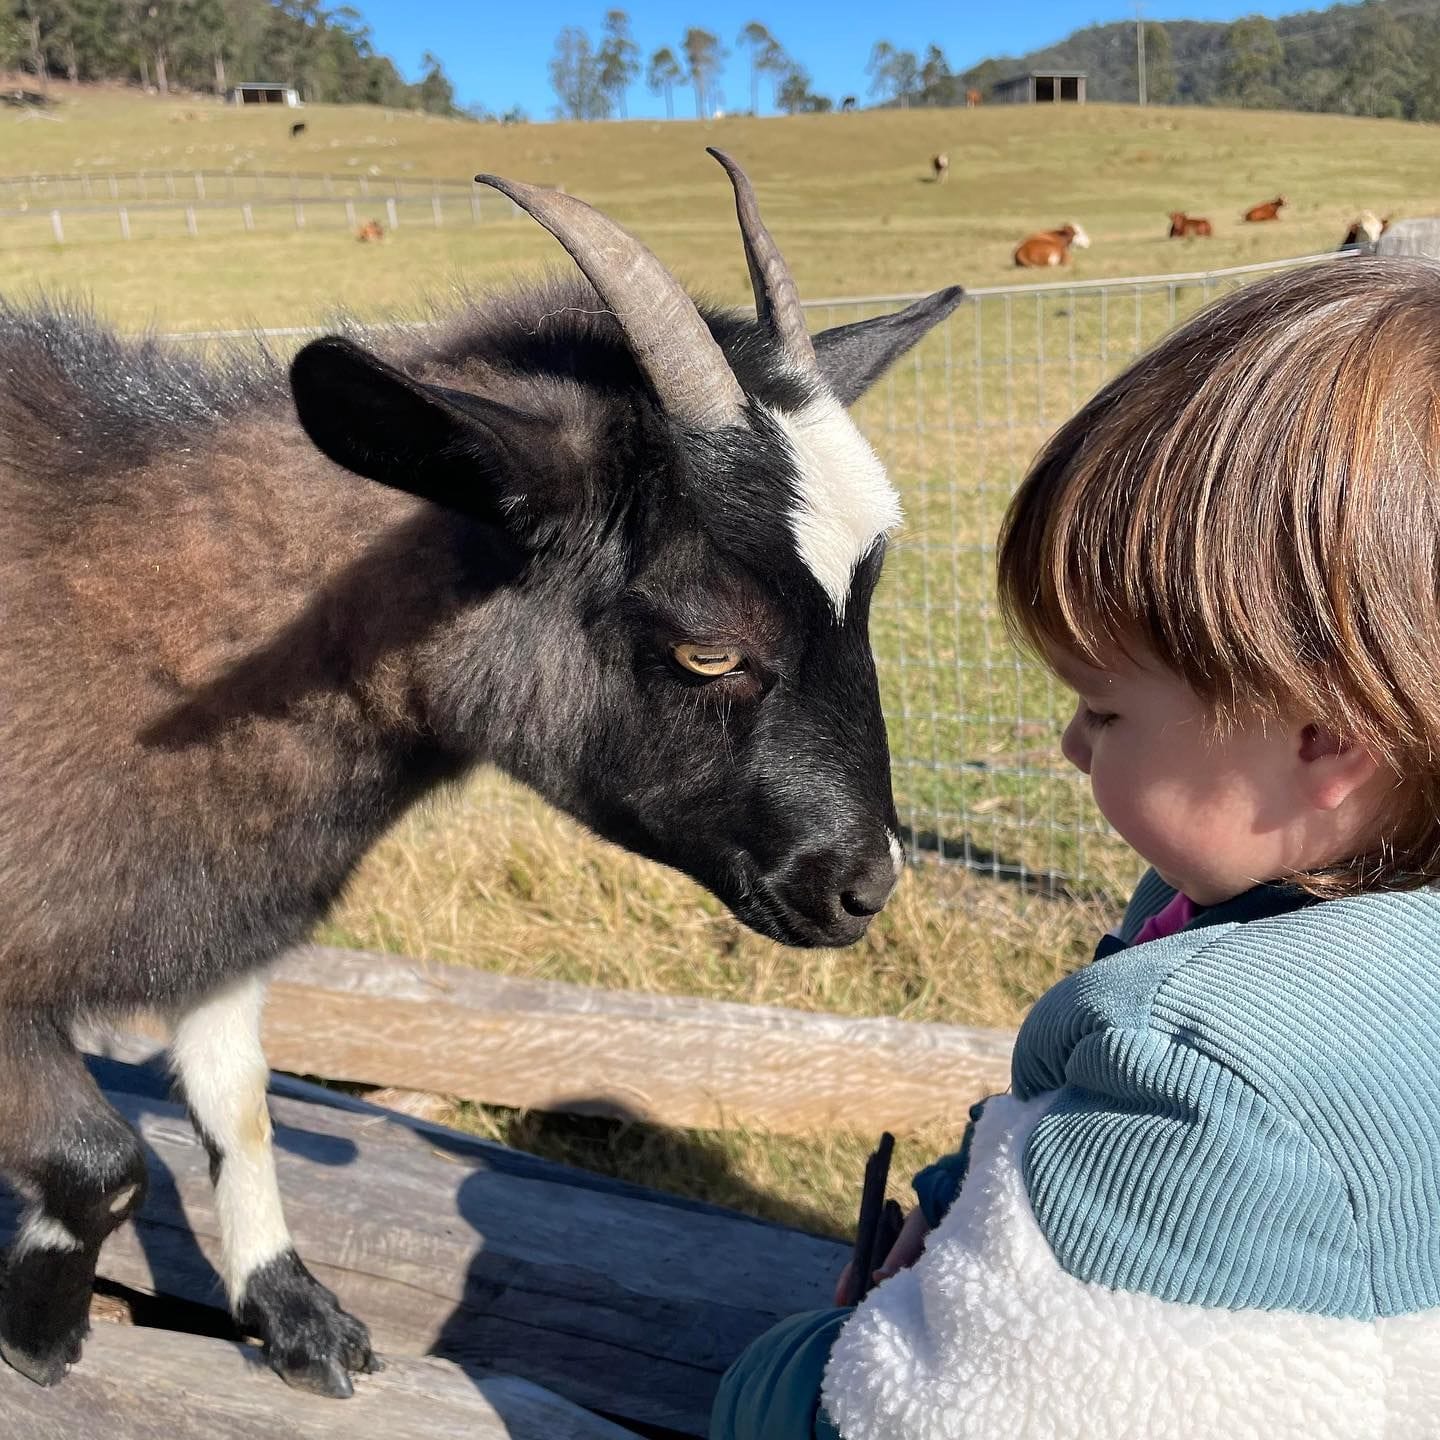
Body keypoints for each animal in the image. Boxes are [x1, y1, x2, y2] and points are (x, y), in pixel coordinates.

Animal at [0, 154, 967, 1393]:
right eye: (708, 645)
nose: (864, 886)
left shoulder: (222, 920)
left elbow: (242, 1106)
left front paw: (295, 1315)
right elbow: (100, 1159)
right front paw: (39, 1336)